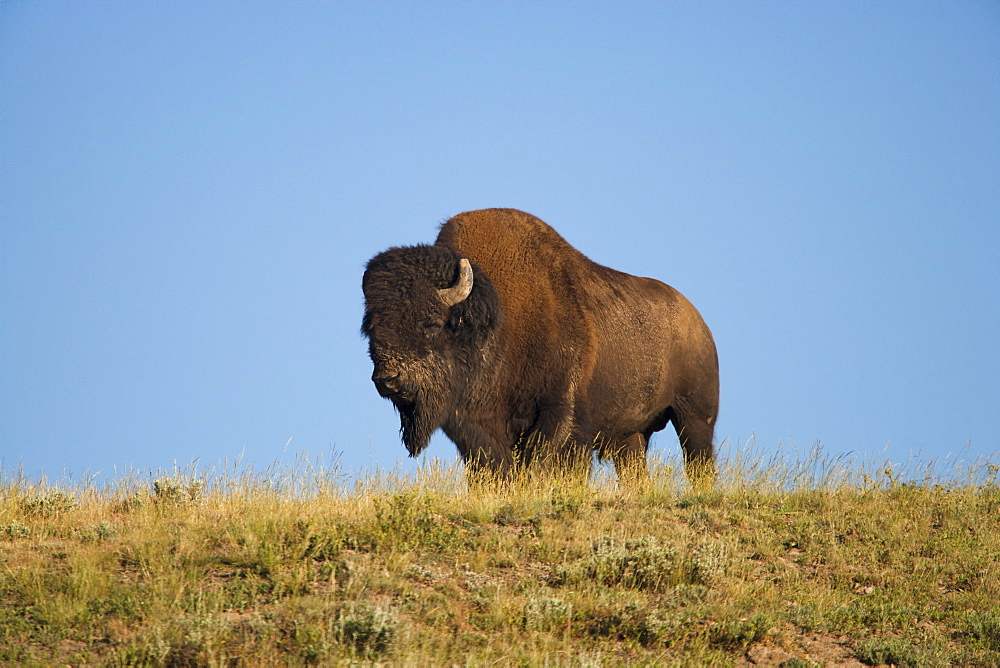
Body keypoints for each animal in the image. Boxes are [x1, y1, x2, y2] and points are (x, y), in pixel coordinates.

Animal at [360, 206, 720, 482]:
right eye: (369, 329)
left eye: (432, 323)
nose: (387, 380)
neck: (496, 320)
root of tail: (697, 322)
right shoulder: (474, 428)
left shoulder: (560, 413)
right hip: (631, 436)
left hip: (695, 416)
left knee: (699, 460)